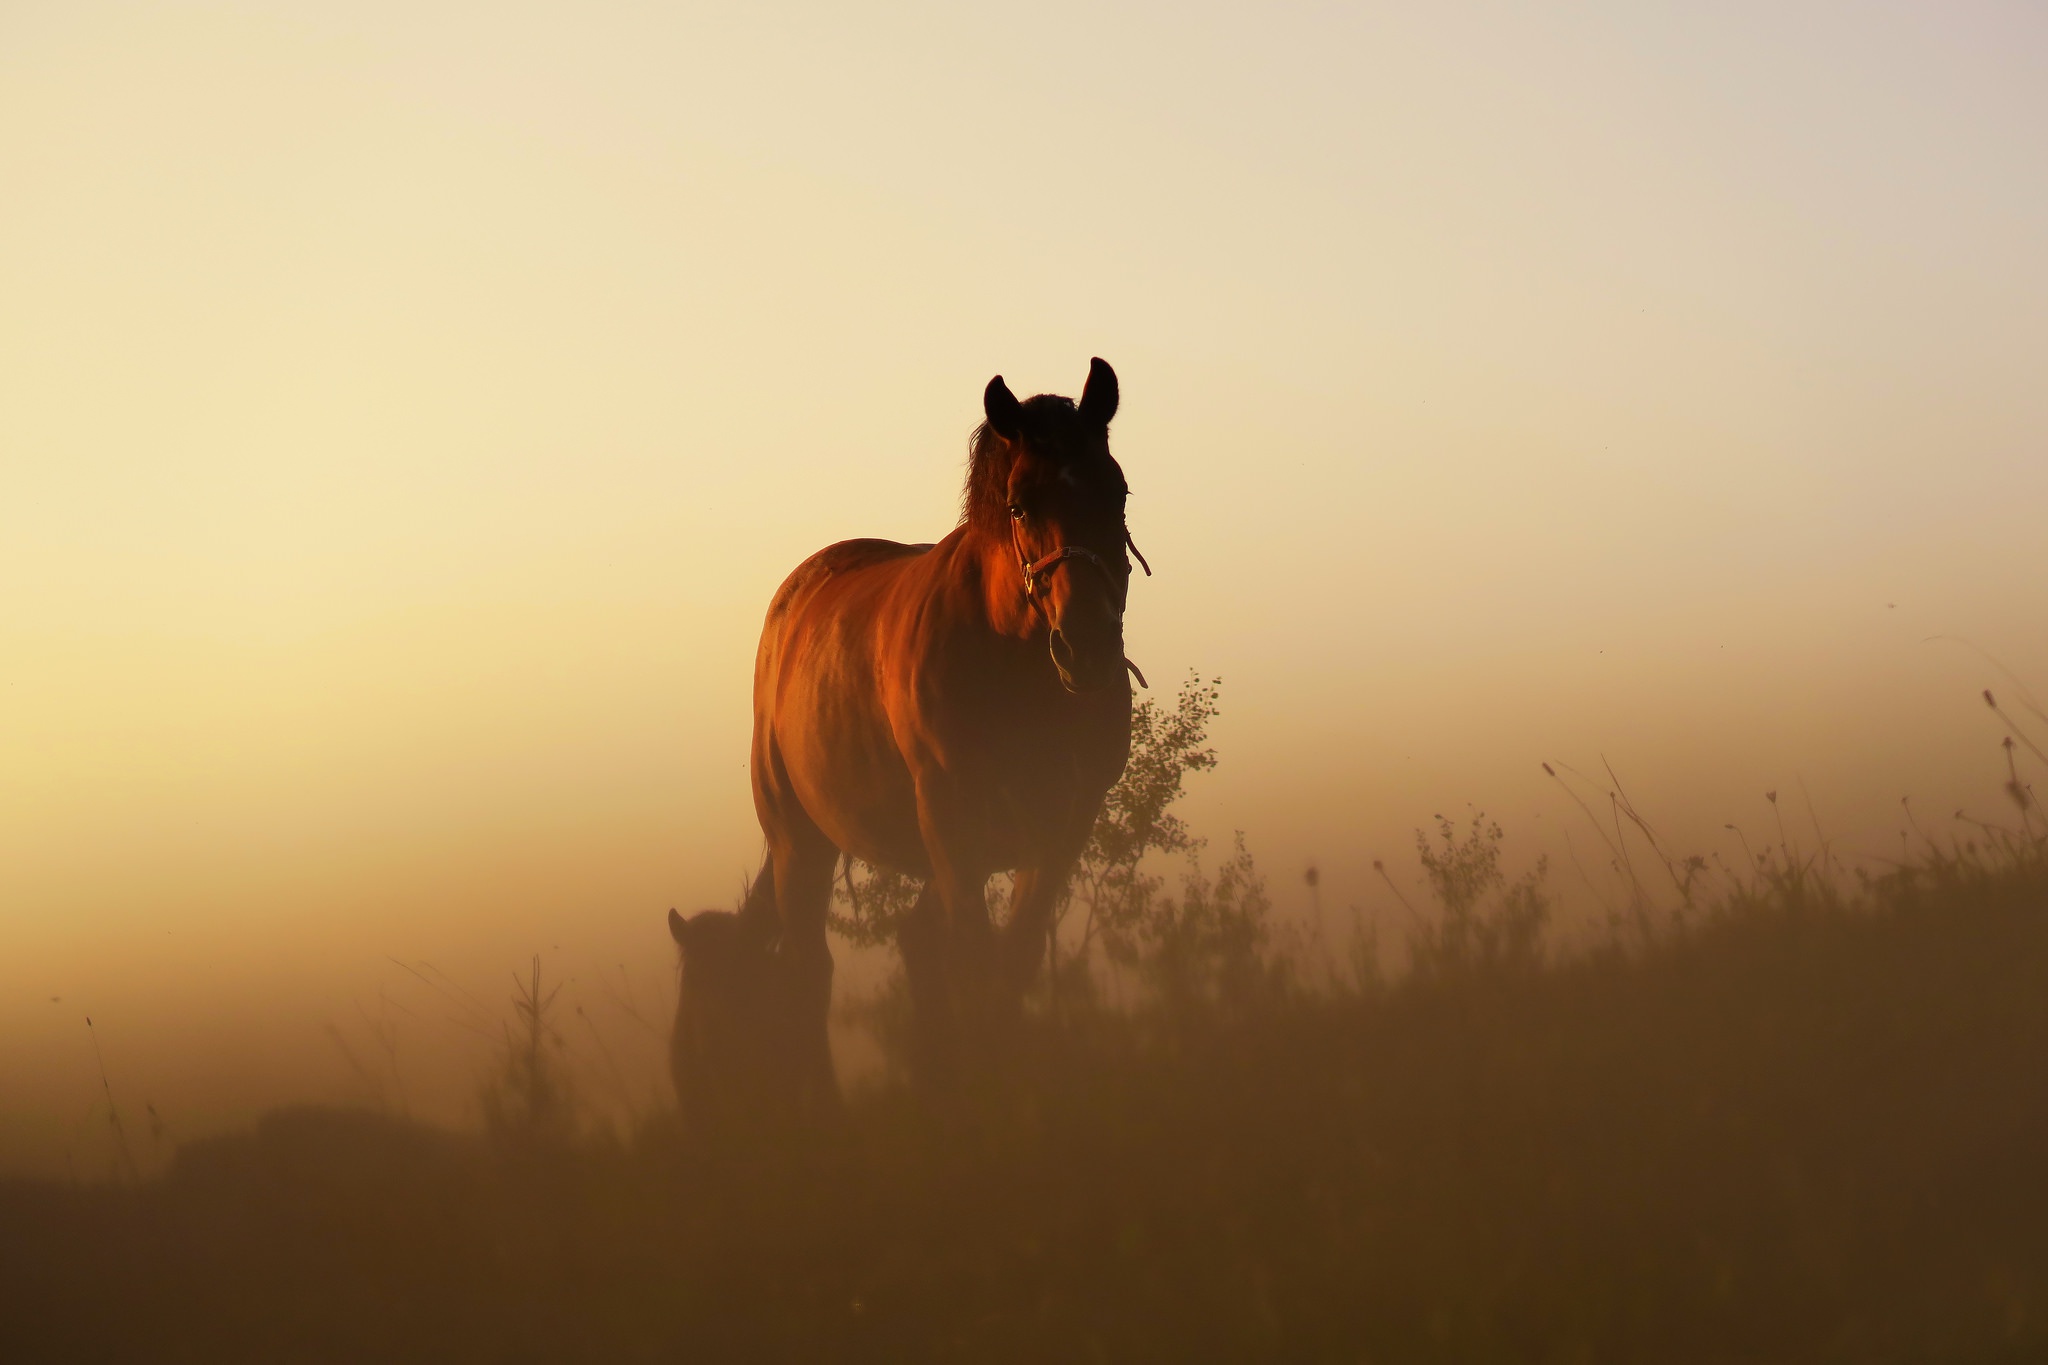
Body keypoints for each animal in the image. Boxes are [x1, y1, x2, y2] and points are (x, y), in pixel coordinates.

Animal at [679, 358, 1146, 1105]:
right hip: (799, 841)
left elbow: (1009, 963)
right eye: (1020, 504)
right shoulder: (951, 816)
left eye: (1118, 491)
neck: (1014, 665)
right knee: (811, 970)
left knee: (910, 946)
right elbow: (974, 961)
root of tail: (795, 601)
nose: (1088, 647)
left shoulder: (1062, 823)